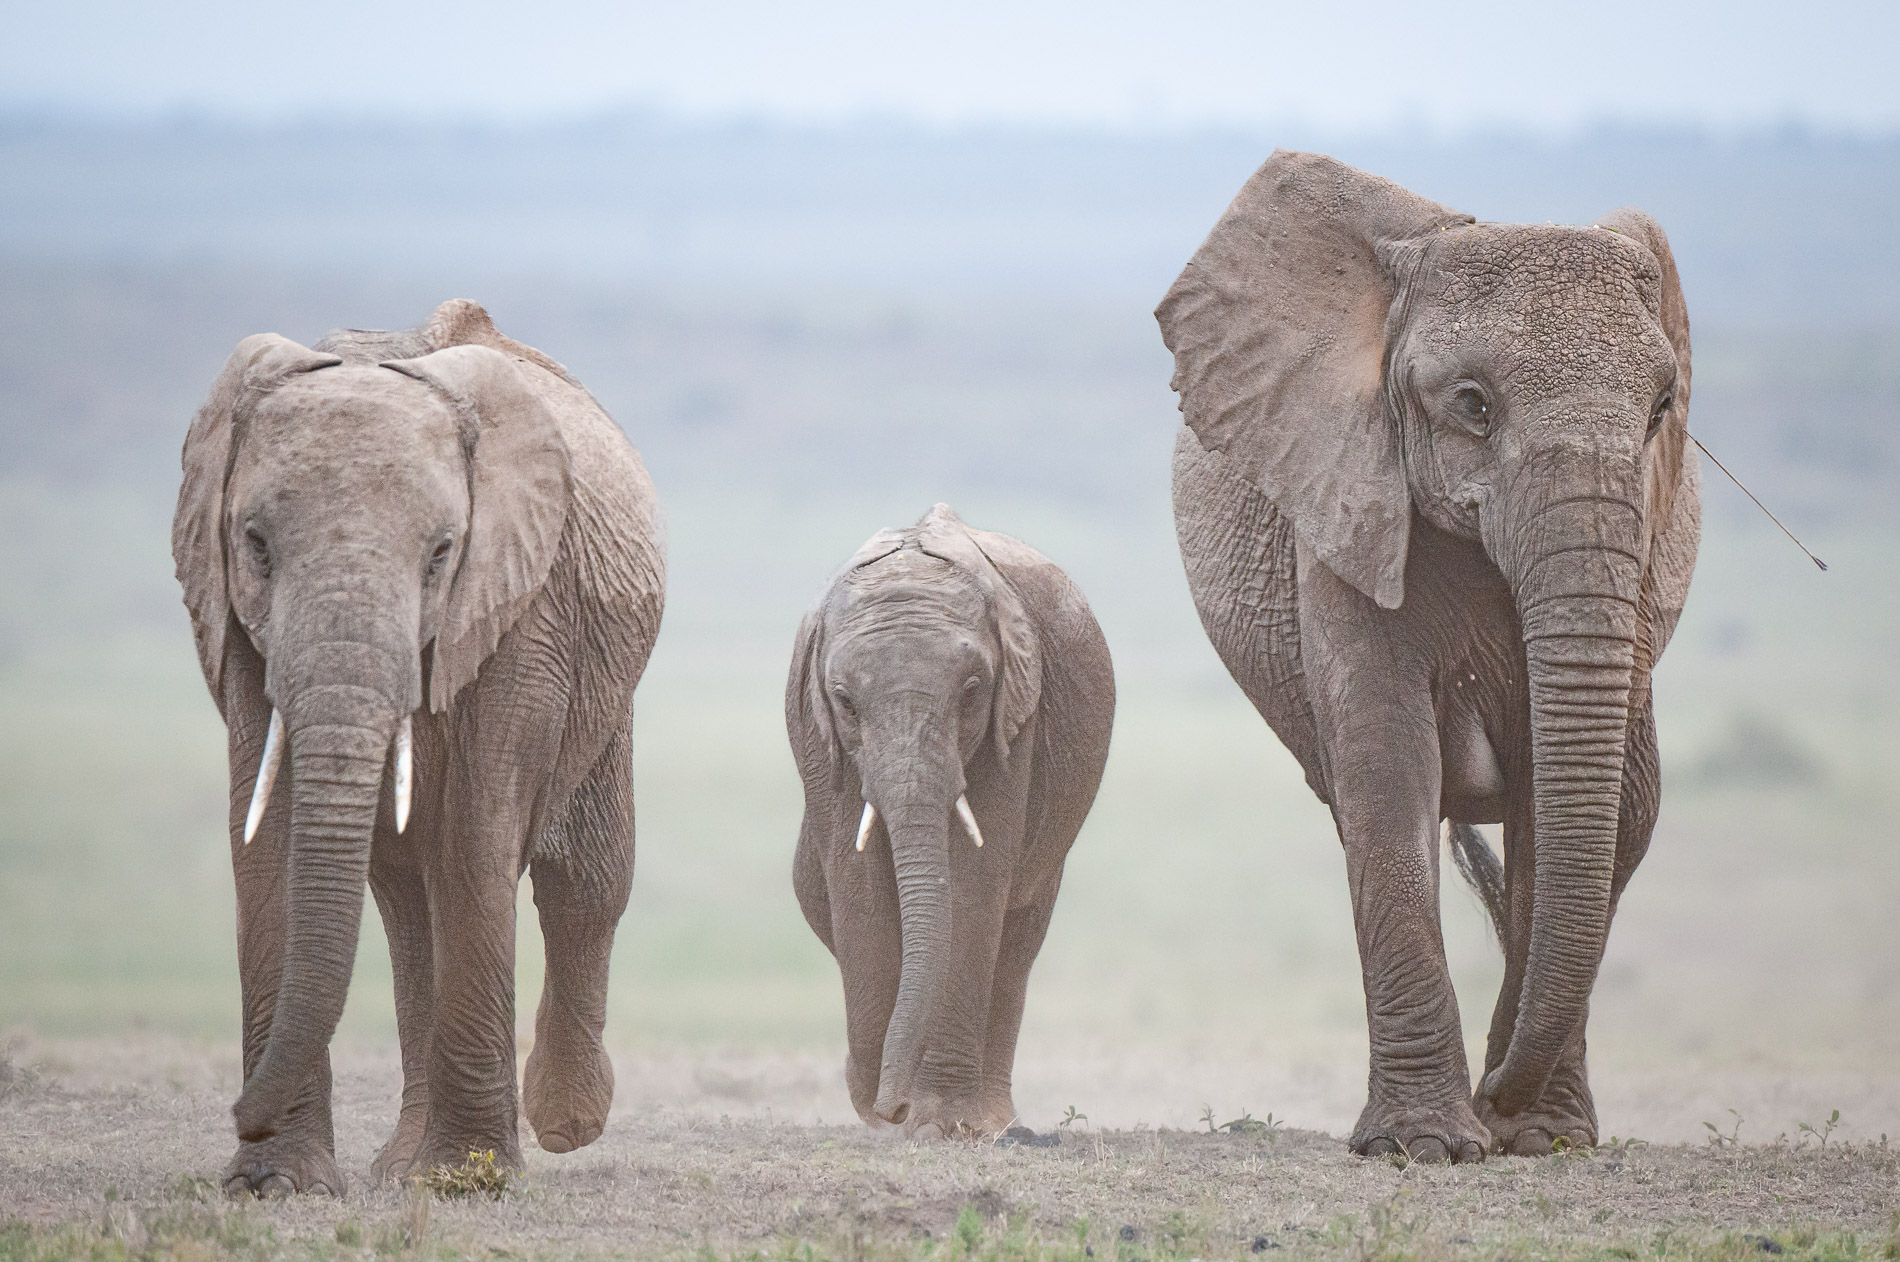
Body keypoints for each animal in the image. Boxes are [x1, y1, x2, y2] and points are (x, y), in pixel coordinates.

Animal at [171, 296, 672, 1193]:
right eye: (255, 545)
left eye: (442, 553)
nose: (238, 1112)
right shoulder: (232, 621)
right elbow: (261, 838)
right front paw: (272, 1184)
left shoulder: (522, 608)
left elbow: (477, 833)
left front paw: (467, 1183)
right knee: (409, 902)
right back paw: (398, 1166)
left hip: (607, 690)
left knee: (583, 882)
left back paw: (560, 1125)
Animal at [786, 505, 1109, 1140]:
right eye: (845, 701)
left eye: (971, 693)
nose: (889, 1107)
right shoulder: (816, 736)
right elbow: (857, 883)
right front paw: (890, 1117)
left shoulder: (1015, 723)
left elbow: (976, 882)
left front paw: (937, 1123)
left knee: (1018, 939)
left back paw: (995, 1123)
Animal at [1155, 150, 1710, 1163]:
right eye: (1472, 406)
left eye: (1661, 411)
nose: (1494, 1097)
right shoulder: (1345, 503)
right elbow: (1387, 766)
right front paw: (1426, 1146)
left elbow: (1599, 799)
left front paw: (1540, 1138)